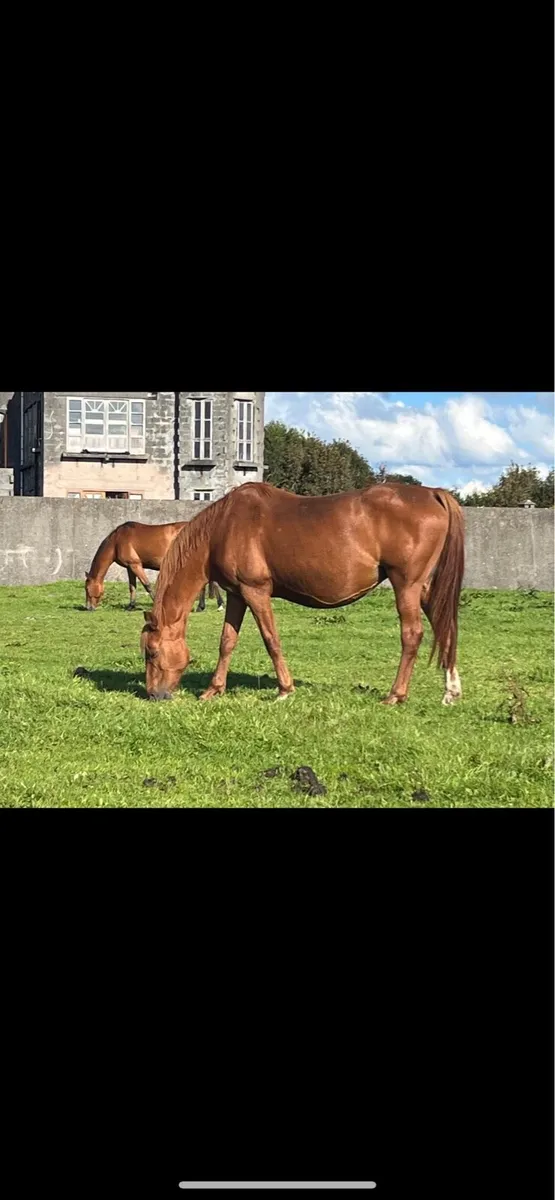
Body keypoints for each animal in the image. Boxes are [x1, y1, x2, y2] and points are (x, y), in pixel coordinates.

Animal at [140, 481, 465, 707]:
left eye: (152, 651)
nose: (154, 695)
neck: (223, 528)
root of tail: (433, 494)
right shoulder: (236, 595)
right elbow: (227, 642)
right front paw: (213, 689)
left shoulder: (255, 591)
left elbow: (271, 639)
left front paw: (284, 690)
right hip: (421, 588)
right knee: (443, 625)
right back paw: (450, 691)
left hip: (405, 585)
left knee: (412, 635)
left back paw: (395, 695)